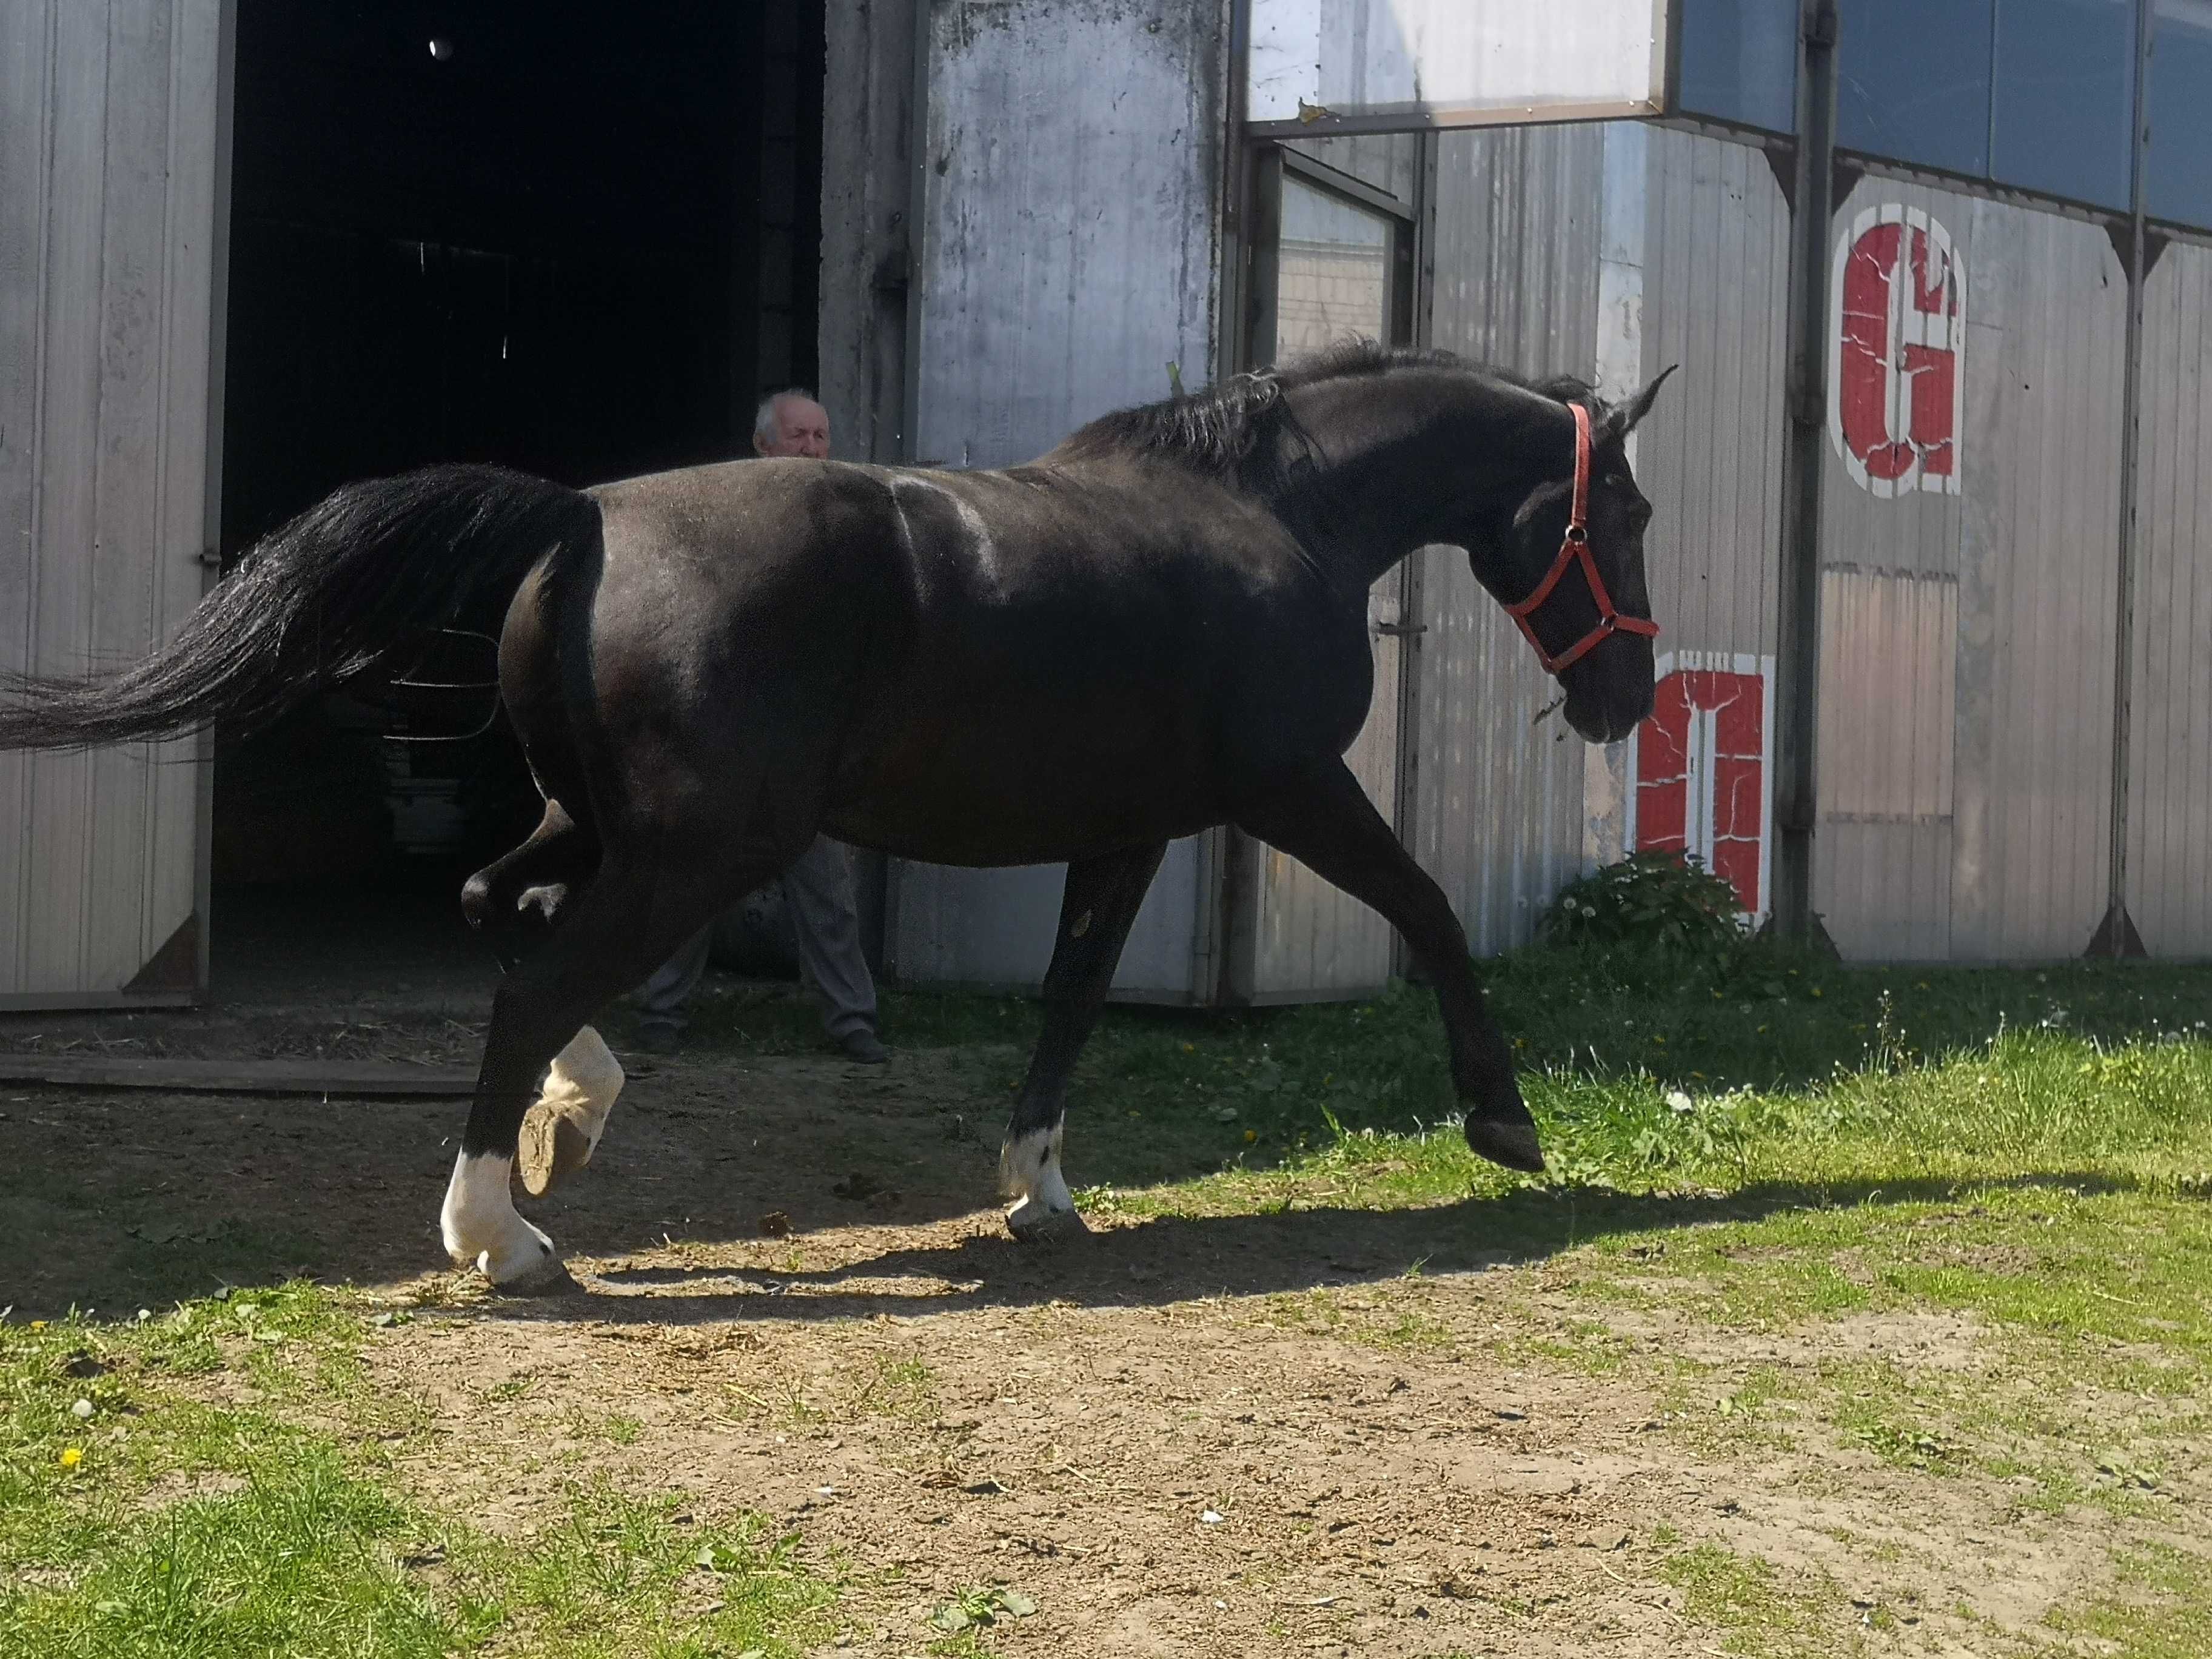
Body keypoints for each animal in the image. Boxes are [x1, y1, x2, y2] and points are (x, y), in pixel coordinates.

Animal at [0, 345, 1663, 1292]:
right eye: (1634, 517)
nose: (1625, 698)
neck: (1275, 521)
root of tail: (585, 517)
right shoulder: (1289, 787)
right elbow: (1428, 907)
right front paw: (1505, 1119)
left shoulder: (1129, 829)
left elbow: (1070, 999)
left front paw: (1038, 1191)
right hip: (697, 851)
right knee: (535, 973)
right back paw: (502, 1235)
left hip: (601, 826)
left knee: (496, 914)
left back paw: (569, 1121)